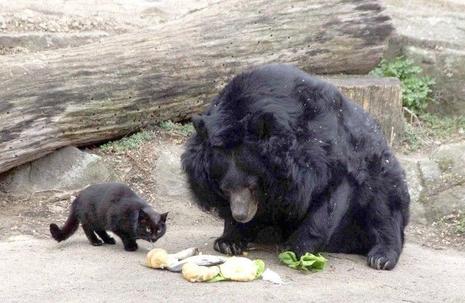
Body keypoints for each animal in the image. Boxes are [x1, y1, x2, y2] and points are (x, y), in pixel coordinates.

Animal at [181, 63, 410, 270]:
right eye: (225, 189)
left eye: (252, 186)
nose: (241, 215)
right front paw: (228, 241)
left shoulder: (325, 153)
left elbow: (329, 198)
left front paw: (296, 249)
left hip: (381, 173)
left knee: (384, 210)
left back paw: (381, 257)